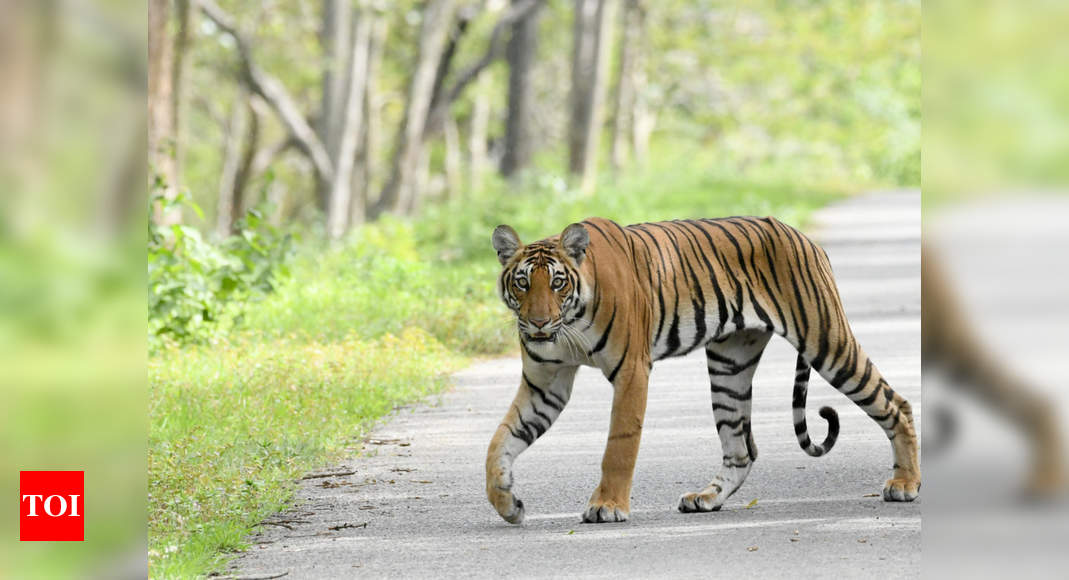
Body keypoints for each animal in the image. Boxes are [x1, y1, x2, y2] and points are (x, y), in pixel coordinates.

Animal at [485, 217, 919, 525]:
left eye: (558, 283)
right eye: (522, 283)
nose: (539, 323)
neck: (569, 322)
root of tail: (806, 239)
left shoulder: (631, 372)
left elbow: (619, 446)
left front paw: (607, 506)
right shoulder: (546, 383)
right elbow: (501, 441)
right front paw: (507, 503)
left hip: (827, 342)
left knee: (894, 403)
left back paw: (905, 484)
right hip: (729, 365)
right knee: (741, 449)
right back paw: (706, 498)